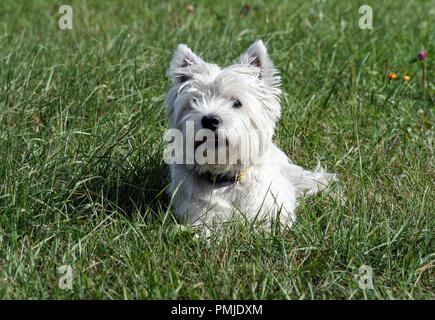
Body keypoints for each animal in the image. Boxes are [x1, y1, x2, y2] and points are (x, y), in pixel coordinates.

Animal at [164, 40, 338, 230]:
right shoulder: (201, 214)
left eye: (236, 102)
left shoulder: (274, 207)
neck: (226, 179)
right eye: (195, 101)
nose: (210, 120)